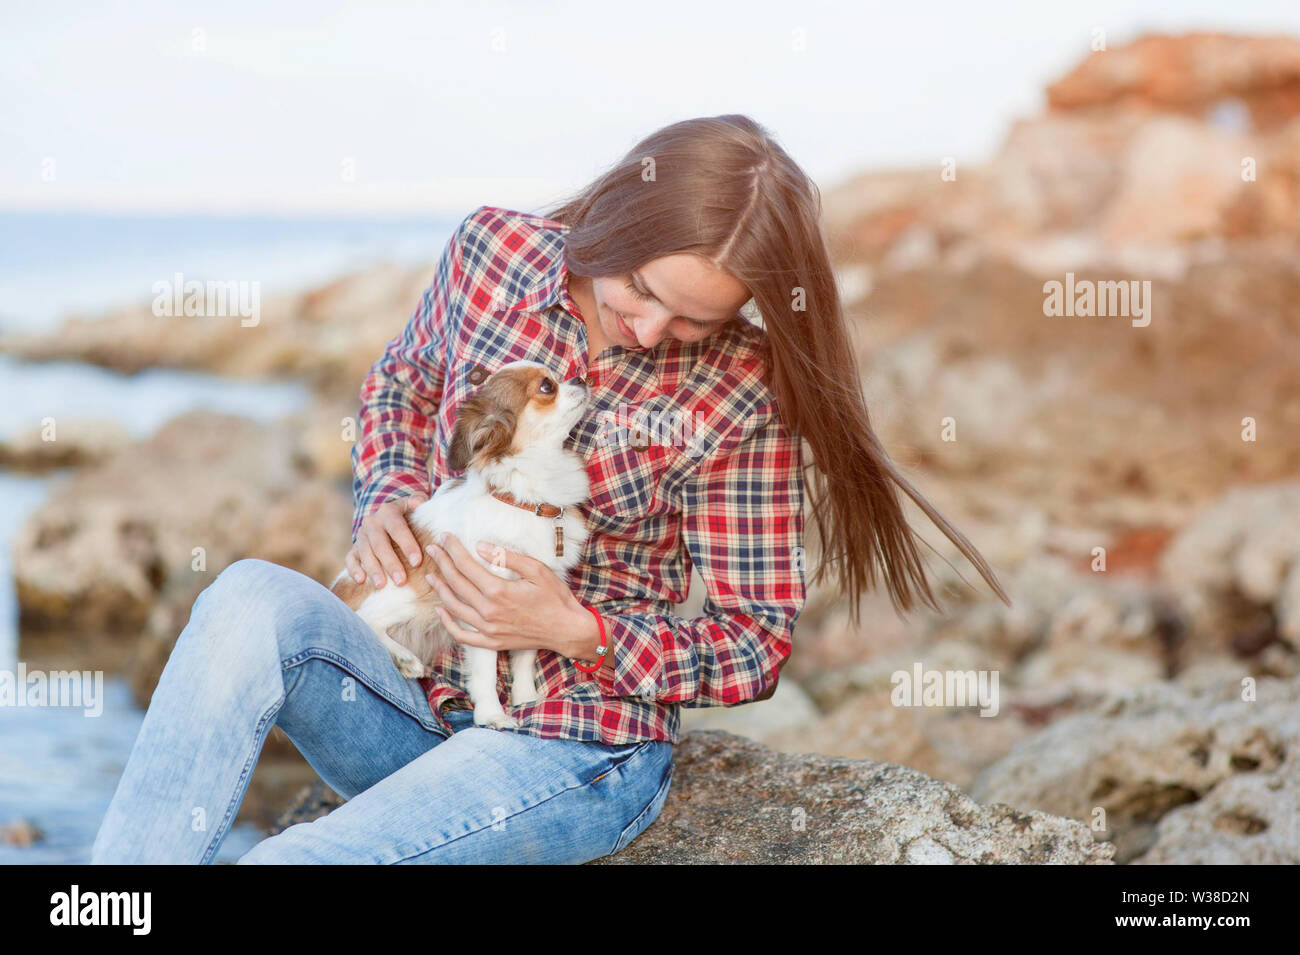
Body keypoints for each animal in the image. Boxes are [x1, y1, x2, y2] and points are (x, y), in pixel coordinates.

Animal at [338, 361, 595, 727]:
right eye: (547, 387)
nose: (581, 378)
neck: (523, 500)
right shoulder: (480, 601)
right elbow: (485, 669)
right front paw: (493, 715)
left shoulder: (533, 598)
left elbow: (525, 656)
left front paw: (526, 699)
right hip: (417, 592)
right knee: (365, 617)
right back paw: (403, 658)